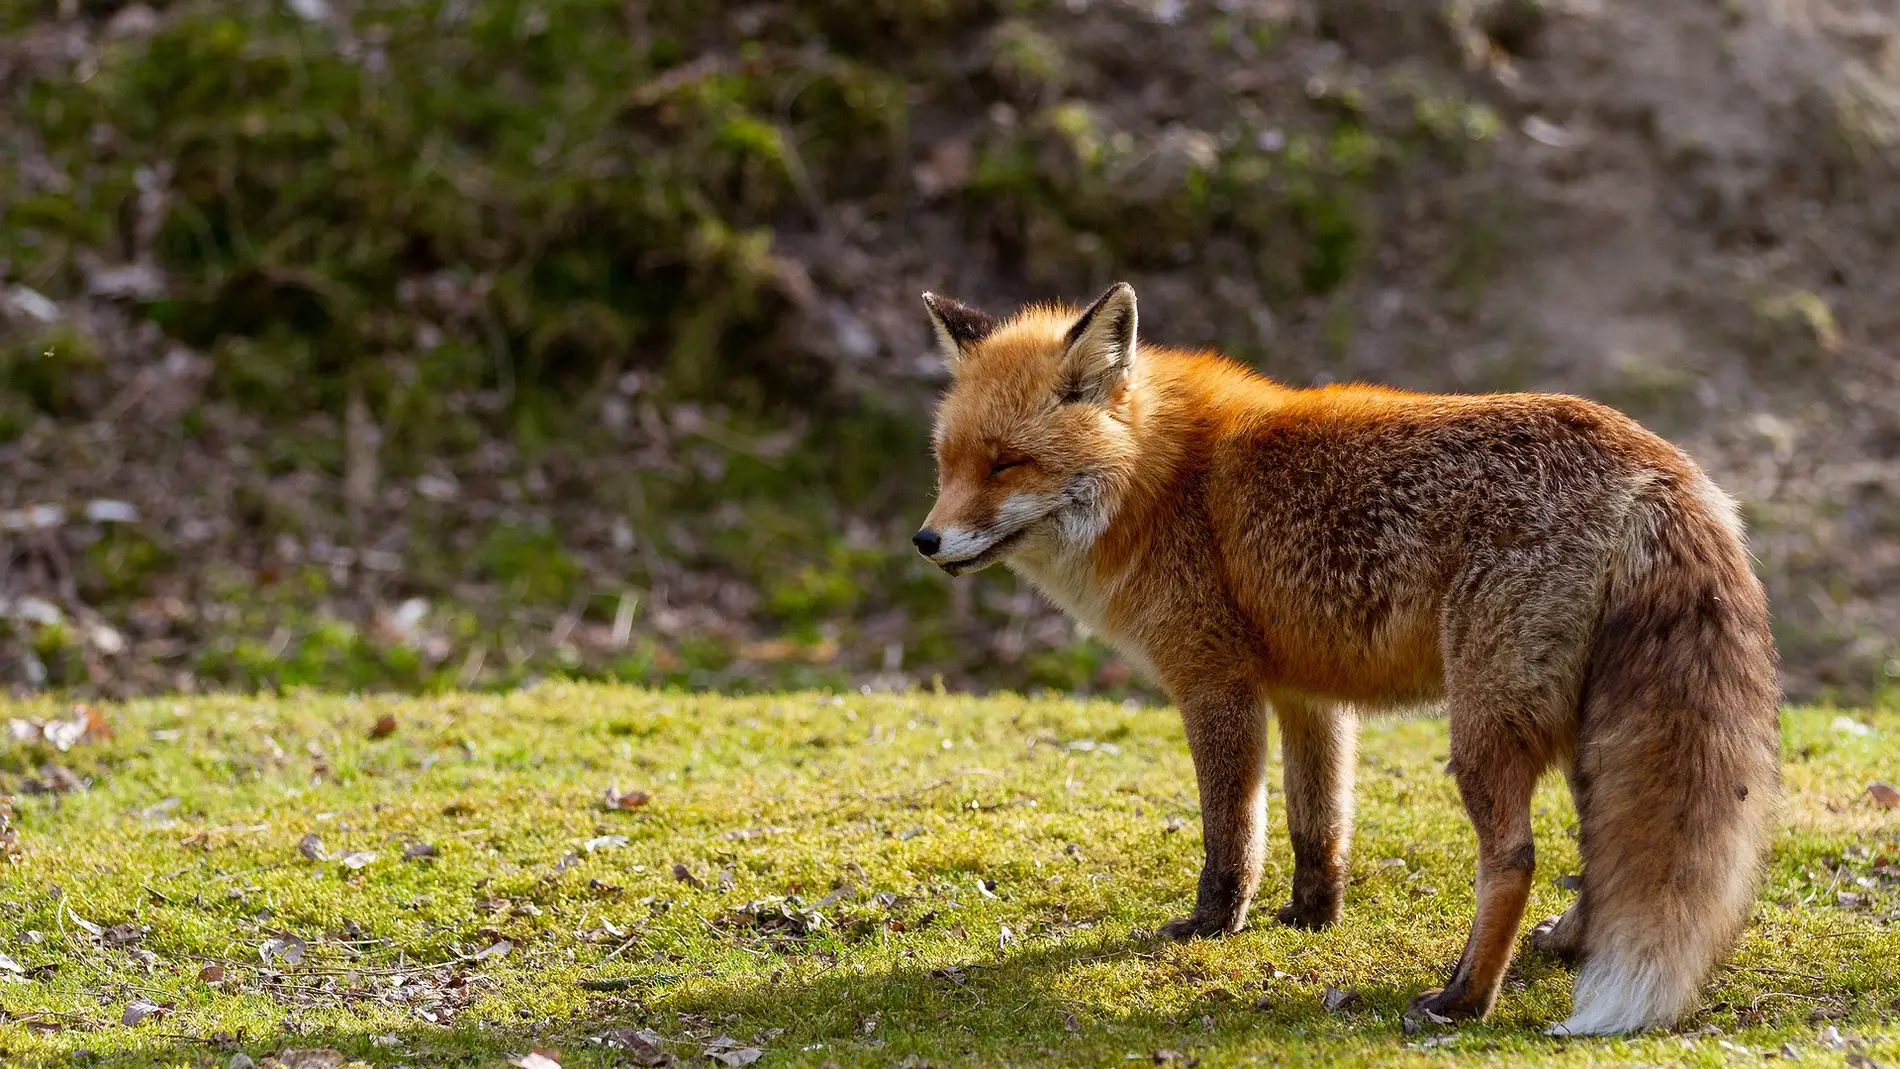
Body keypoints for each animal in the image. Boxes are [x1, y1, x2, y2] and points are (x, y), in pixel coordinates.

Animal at [908, 284, 1778, 1040]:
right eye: (946, 464)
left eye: (1006, 463)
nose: (925, 539)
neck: (1159, 480)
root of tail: (1656, 462)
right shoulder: (1307, 693)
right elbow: (1316, 822)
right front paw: (1311, 916)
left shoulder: (1215, 682)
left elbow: (1233, 833)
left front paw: (1211, 925)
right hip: (1588, 727)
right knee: (1599, 849)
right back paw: (1565, 944)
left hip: (1485, 725)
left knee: (1514, 858)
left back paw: (1464, 997)